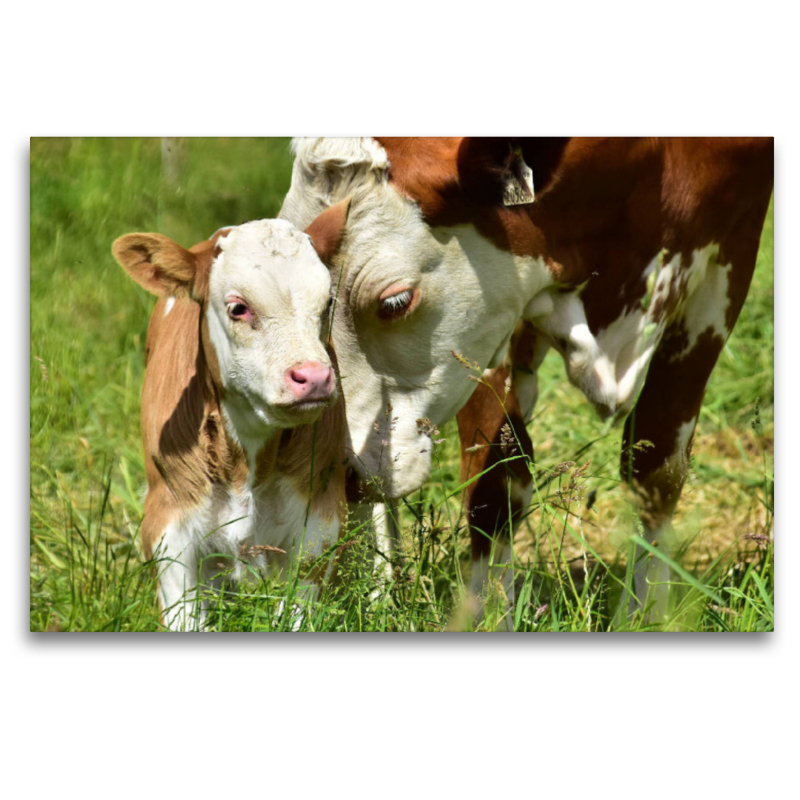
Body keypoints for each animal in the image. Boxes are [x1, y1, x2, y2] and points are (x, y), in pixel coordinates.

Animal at [282, 138, 776, 624]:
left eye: (395, 301)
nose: (336, 467)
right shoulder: (491, 318)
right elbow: (497, 482)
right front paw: (487, 616)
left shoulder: (733, 241)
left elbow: (657, 468)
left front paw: (645, 615)